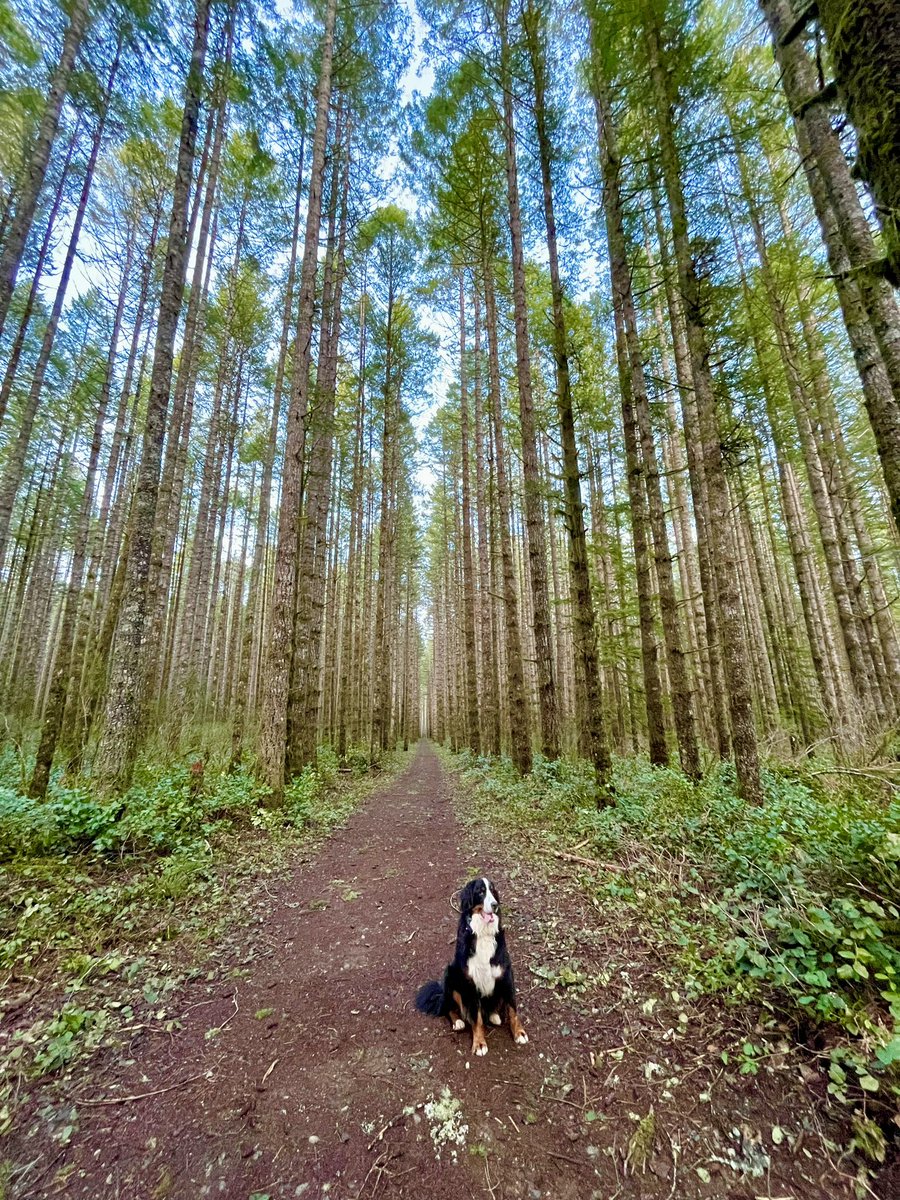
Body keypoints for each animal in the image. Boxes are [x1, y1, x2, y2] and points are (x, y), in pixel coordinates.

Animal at [415, 873, 528, 1060]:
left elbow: (513, 1010)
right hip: (450, 974)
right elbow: (477, 1019)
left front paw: (519, 1033)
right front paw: (479, 1043)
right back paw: (458, 1021)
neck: (483, 934)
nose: (495, 905)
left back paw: (494, 1016)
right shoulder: (470, 982)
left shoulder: (505, 975)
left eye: (493, 890)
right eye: (480, 892)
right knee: (449, 1007)